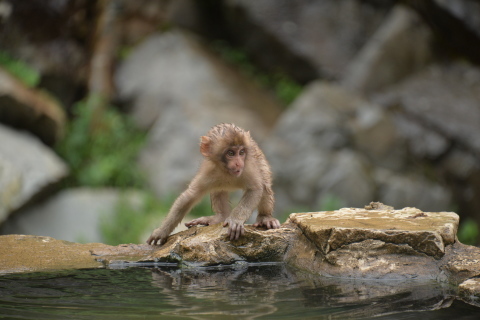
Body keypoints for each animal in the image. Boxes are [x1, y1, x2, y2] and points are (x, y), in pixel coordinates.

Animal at [147, 122, 282, 245]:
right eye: (231, 153)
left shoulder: (248, 167)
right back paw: (221, 217)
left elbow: (256, 189)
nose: (238, 163)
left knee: (264, 184)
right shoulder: (208, 171)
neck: (226, 171)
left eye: (241, 152)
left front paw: (235, 220)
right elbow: (189, 197)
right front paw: (162, 231)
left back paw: (265, 217)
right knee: (218, 189)